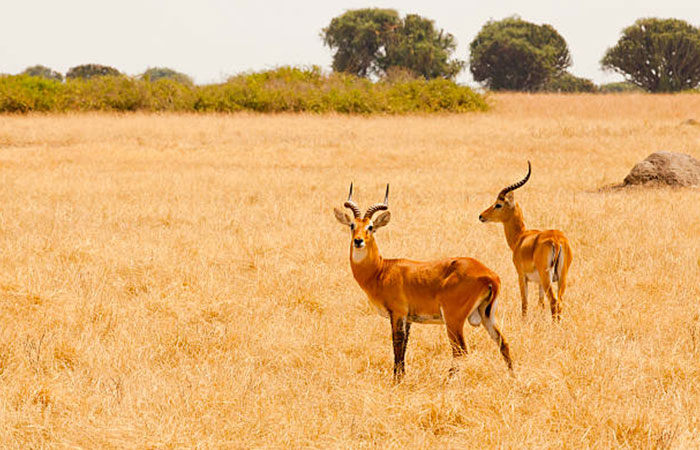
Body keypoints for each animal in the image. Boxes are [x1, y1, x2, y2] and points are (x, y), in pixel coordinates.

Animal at [330, 182, 512, 380]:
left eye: (370, 227)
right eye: (352, 225)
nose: (358, 241)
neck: (381, 270)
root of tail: (489, 274)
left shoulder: (398, 313)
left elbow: (397, 344)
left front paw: (396, 380)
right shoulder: (408, 319)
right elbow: (404, 347)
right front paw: (401, 377)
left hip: (453, 319)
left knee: (460, 350)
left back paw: (447, 382)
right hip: (487, 316)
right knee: (503, 343)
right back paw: (512, 376)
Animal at [478, 162, 572, 320]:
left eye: (498, 204)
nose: (481, 216)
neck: (520, 238)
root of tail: (557, 240)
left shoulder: (521, 276)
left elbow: (524, 303)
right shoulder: (539, 282)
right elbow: (540, 303)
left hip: (547, 277)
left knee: (553, 301)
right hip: (561, 277)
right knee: (559, 301)